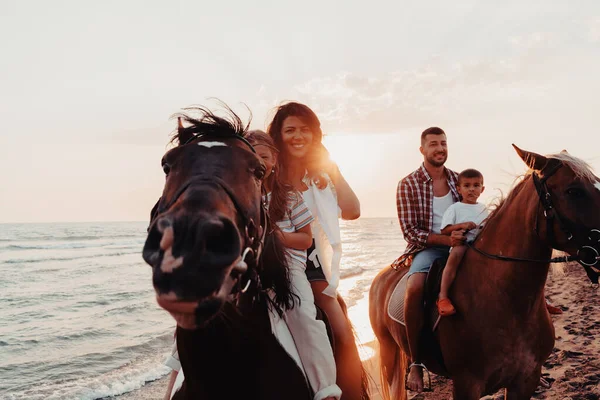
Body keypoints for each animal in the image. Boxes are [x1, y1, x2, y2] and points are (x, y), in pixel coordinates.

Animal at [368, 145, 600, 398]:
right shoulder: (466, 385)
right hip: (388, 351)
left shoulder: (526, 380)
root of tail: (381, 277)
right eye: (574, 191)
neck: (506, 302)